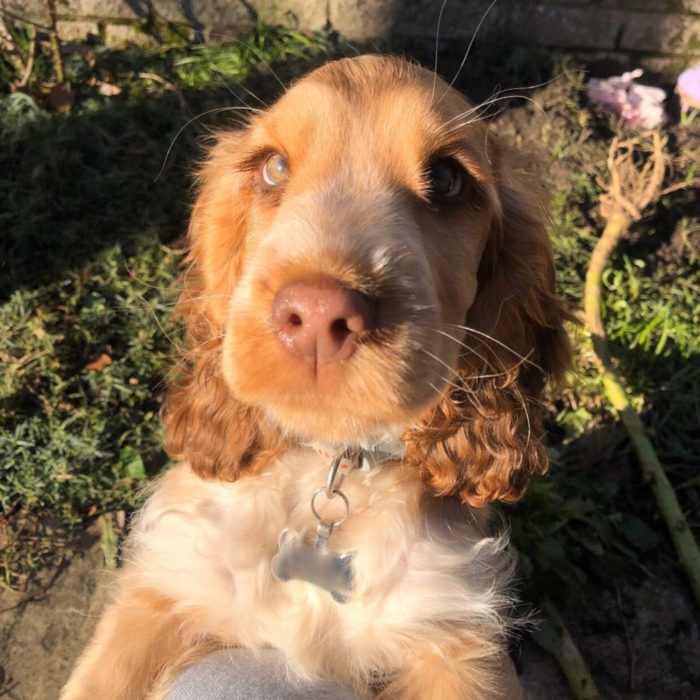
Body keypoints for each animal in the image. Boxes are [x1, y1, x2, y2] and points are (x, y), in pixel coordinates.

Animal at [63, 56, 572, 700]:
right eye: (273, 168)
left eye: (448, 178)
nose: (315, 316)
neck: (326, 471)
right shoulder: (163, 588)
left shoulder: (455, 638)